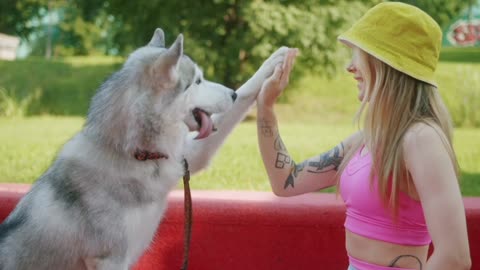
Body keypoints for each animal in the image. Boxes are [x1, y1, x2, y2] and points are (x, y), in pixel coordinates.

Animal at [0, 28, 286, 268]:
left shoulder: (187, 156)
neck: (137, 156)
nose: (232, 94)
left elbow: (245, 95)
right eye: (197, 81)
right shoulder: (109, 259)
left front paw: (274, 63)